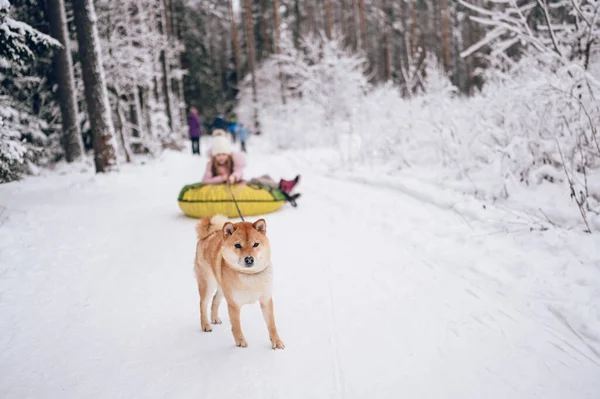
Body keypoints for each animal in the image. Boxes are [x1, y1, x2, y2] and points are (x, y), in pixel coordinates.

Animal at [193, 216, 284, 350]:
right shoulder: (233, 304)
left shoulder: (266, 300)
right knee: (203, 304)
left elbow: (271, 324)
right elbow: (236, 326)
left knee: (215, 299)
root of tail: (208, 234)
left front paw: (276, 342)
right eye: (237, 245)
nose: (249, 259)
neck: (249, 276)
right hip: (208, 284)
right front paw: (240, 341)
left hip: (222, 287)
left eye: (255, 244)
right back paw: (205, 324)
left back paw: (214, 318)